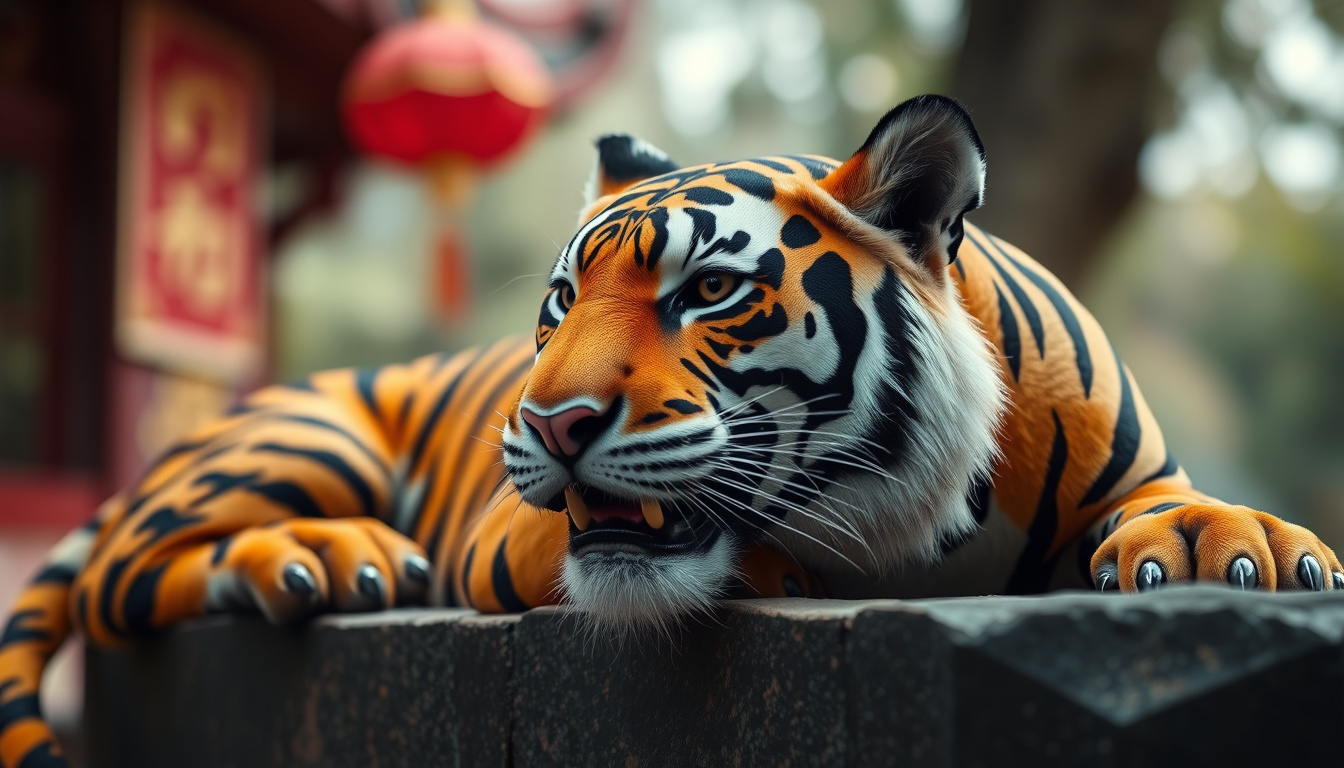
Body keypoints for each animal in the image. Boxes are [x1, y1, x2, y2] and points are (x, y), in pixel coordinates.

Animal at [3, 94, 1340, 768]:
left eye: (707, 291)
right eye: (559, 303)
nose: (551, 420)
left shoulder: (1138, 472)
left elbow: (1178, 511)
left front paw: (1249, 548)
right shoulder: (514, 539)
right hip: (308, 435)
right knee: (128, 574)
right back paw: (326, 560)